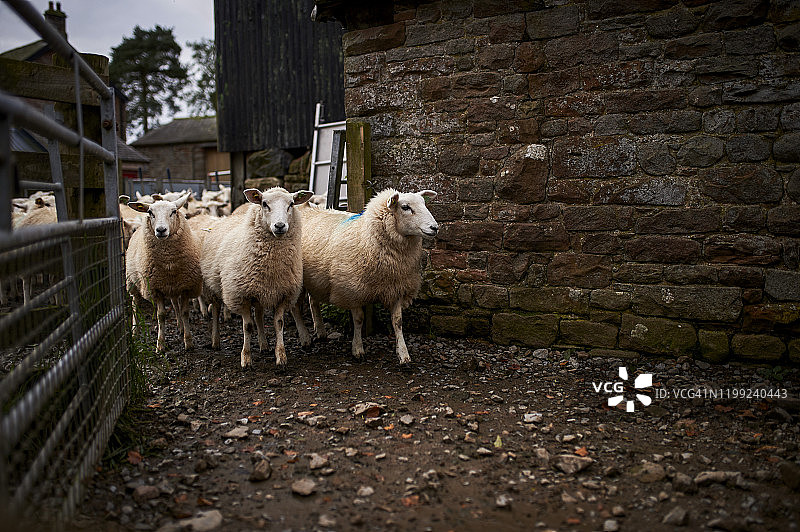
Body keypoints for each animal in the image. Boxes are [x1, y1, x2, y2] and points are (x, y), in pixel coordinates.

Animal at [126, 193, 203, 352]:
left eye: (173, 211)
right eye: (150, 212)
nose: (161, 230)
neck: (169, 263)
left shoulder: (185, 286)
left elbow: (184, 312)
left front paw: (188, 341)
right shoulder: (155, 289)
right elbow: (161, 315)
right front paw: (160, 344)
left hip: (173, 287)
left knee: (175, 304)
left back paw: (180, 327)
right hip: (132, 282)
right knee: (135, 304)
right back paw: (135, 331)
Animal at [200, 186, 312, 366]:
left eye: (291, 204)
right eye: (264, 203)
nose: (279, 226)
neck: (272, 266)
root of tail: (227, 217)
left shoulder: (282, 294)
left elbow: (278, 324)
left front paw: (281, 355)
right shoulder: (240, 296)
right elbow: (248, 326)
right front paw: (246, 358)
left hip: (259, 292)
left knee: (259, 316)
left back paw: (263, 344)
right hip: (212, 287)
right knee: (216, 310)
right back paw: (215, 340)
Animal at [298, 188, 440, 366]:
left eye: (424, 204)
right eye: (405, 207)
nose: (435, 227)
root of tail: (305, 207)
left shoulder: (396, 287)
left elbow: (398, 322)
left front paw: (403, 354)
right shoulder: (351, 289)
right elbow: (359, 319)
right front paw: (358, 349)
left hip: (316, 278)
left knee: (313, 300)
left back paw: (321, 330)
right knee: (296, 308)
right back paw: (305, 337)